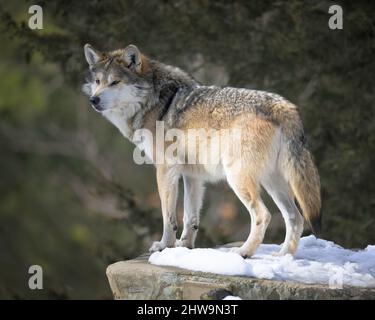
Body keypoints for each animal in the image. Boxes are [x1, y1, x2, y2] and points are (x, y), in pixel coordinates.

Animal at [83, 43, 322, 258]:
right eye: (97, 82)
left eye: (115, 82)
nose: (93, 99)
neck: (155, 103)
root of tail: (285, 107)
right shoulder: (193, 176)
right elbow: (190, 217)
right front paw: (184, 247)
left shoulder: (165, 170)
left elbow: (168, 217)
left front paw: (164, 246)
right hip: (273, 183)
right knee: (295, 218)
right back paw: (283, 256)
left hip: (239, 178)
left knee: (263, 215)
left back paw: (243, 252)